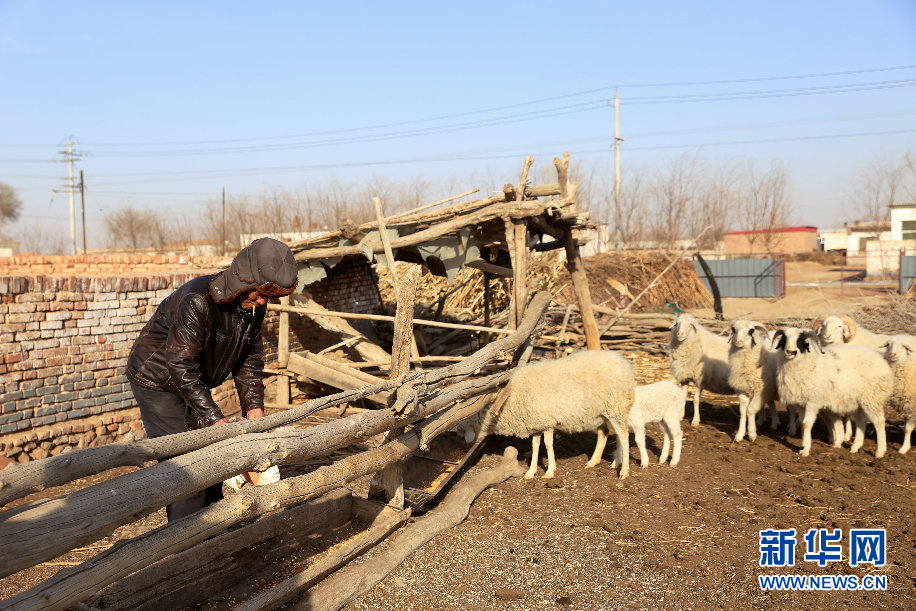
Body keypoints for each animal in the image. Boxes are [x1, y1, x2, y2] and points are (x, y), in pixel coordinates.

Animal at [462, 352, 632, 480]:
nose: (465, 451)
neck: (512, 401)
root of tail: (623, 361)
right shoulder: (537, 423)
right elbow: (535, 446)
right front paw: (531, 472)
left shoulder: (547, 421)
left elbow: (548, 445)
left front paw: (550, 471)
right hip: (603, 413)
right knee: (607, 433)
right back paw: (597, 461)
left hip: (616, 407)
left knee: (623, 436)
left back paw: (624, 471)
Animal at [768, 328, 892, 456]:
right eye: (784, 339)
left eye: (801, 340)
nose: (790, 351)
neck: (810, 362)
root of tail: (883, 362)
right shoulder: (801, 403)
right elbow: (802, 423)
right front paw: (803, 446)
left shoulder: (813, 401)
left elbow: (807, 424)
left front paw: (806, 450)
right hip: (860, 401)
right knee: (861, 421)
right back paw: (855, 447)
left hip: (872, 398)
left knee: (879, 422)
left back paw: (880, 452)